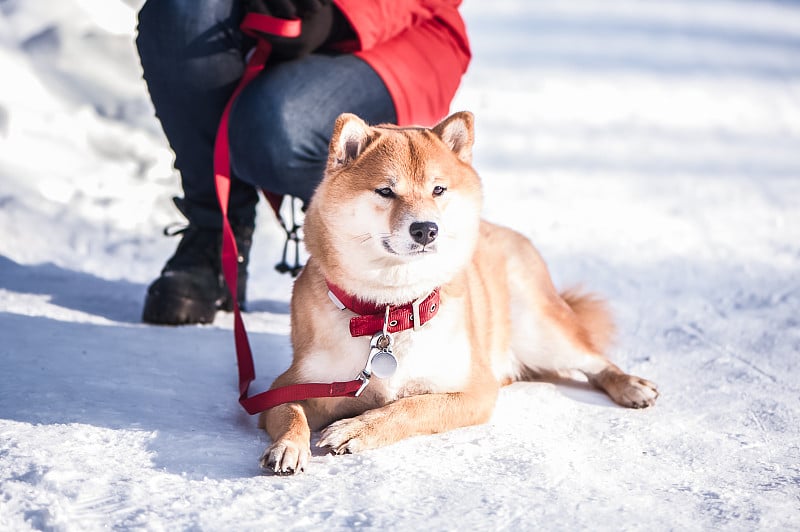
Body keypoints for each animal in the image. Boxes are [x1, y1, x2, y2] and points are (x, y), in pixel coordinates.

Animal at [260, 111, 660, 474]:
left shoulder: (474, 389)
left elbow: (410, 407)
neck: (391, 311)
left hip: (541, 330)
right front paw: (289, 446)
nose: (425, 229)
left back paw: (630, 384)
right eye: (386, 191)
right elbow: (291, 410)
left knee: (593, 360)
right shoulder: (292, 385)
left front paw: (358, 428)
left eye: (438, 189)